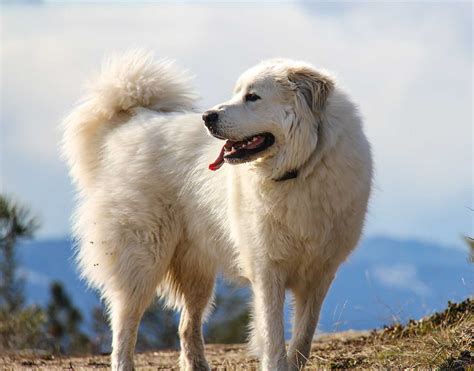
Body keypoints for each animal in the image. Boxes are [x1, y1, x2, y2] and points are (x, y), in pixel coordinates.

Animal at [62, 50, 374, 371]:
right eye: (237, 93)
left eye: (252, 97)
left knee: (186, 324)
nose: (207, 117)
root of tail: (131, 123)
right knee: (125, 325)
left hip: (197, 271)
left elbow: (303, 336)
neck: (300, 169)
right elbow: (273, 334)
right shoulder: (267, 269)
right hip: (143, 258)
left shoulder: (320, 273)